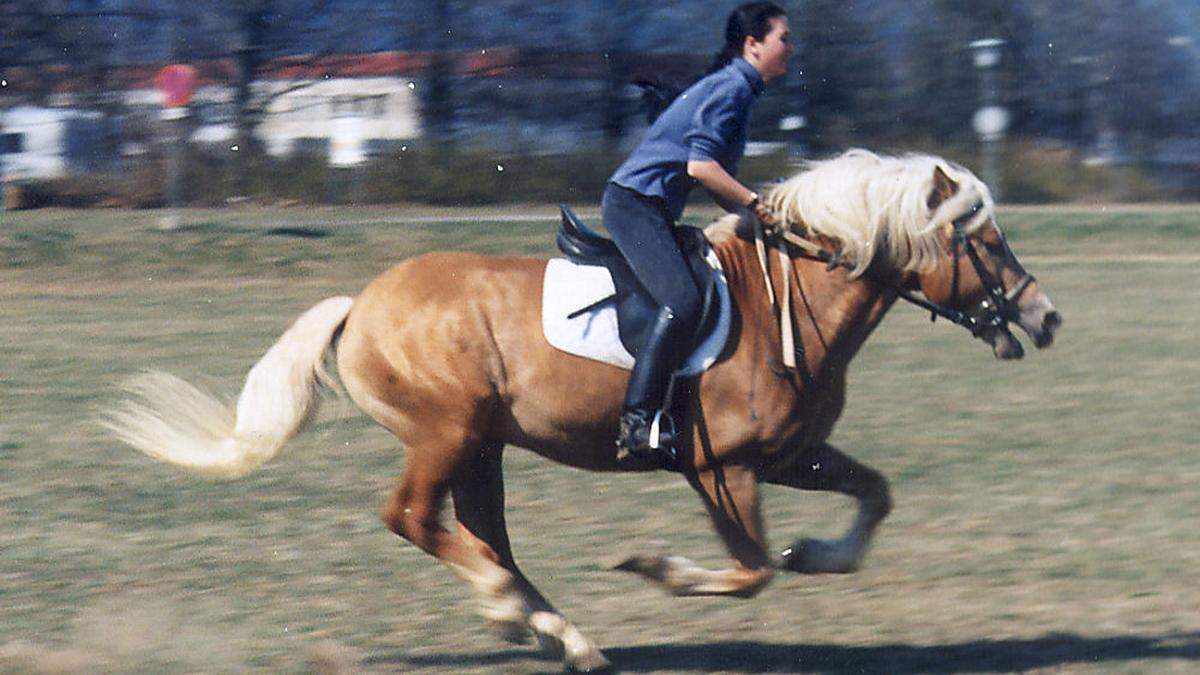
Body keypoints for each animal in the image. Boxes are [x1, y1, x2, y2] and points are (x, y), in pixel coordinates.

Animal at [103, 149, 1060, 667]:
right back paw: (512, 608)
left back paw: (557, 630)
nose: (1046, 317)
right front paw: (653, 565)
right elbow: (750, 571)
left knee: (479, 530)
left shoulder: (792, 454)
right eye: (983, 240)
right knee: (413, 516)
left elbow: (872, 496)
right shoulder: (723, 467)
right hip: (446, 430)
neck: (791, 300)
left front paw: (818, 553)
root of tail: (362, 302)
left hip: (482, 444)